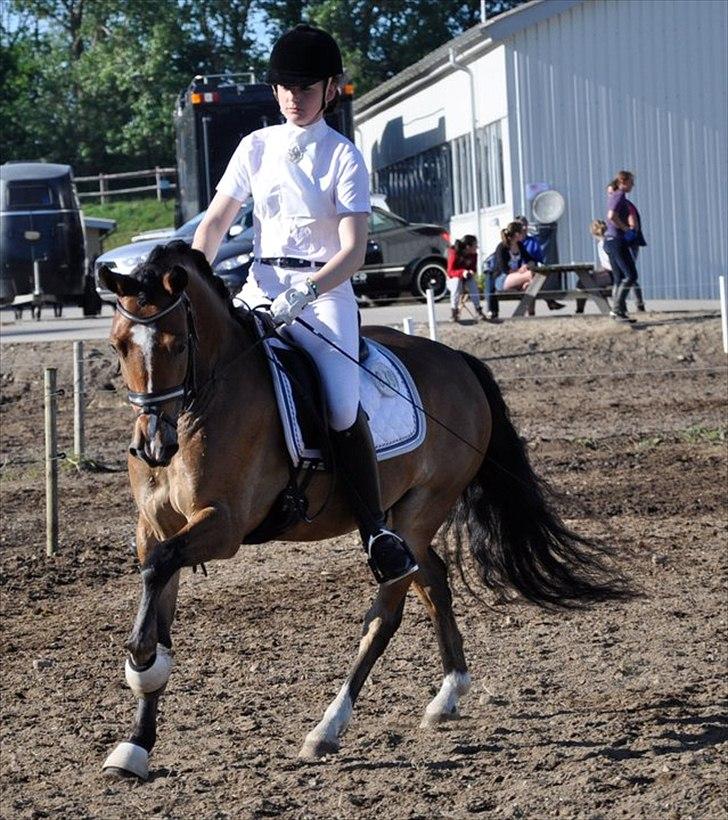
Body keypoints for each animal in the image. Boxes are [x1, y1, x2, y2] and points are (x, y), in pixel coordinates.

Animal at [98, 241, 631, 780]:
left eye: (177, 346)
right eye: (119, 345)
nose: (153, 446)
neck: (198, 406)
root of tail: (458, 361)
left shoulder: (223, 526)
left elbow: (158, 571)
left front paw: (141, 660)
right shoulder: (154, 527)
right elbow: (157, 590)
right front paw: (136, 744)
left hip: (422, 508)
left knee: (388, 612)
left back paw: (328, 727)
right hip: (401, 519)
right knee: (432, 581)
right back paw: (448, 693)